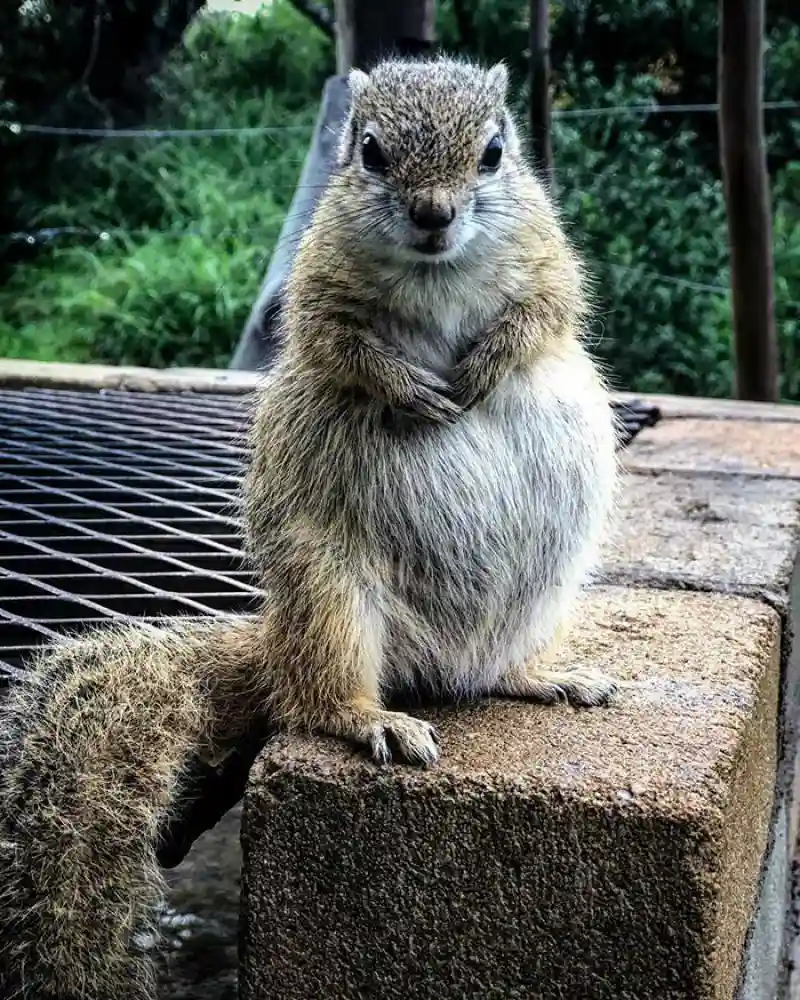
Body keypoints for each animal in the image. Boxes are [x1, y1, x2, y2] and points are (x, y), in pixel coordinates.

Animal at [0, 54, 620, 1000]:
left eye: (494, 153)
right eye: (368, 152)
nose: (434, 214)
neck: (437, 274)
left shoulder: (550, 262)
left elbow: (546, 311)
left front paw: (485, 362)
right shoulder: (315, 290)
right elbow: (339, 345)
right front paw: (406, 388)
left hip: (540, 591)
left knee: (491, 669)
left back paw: (541, 677)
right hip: (330, 595)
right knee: (315, 699)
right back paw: (370, 720)